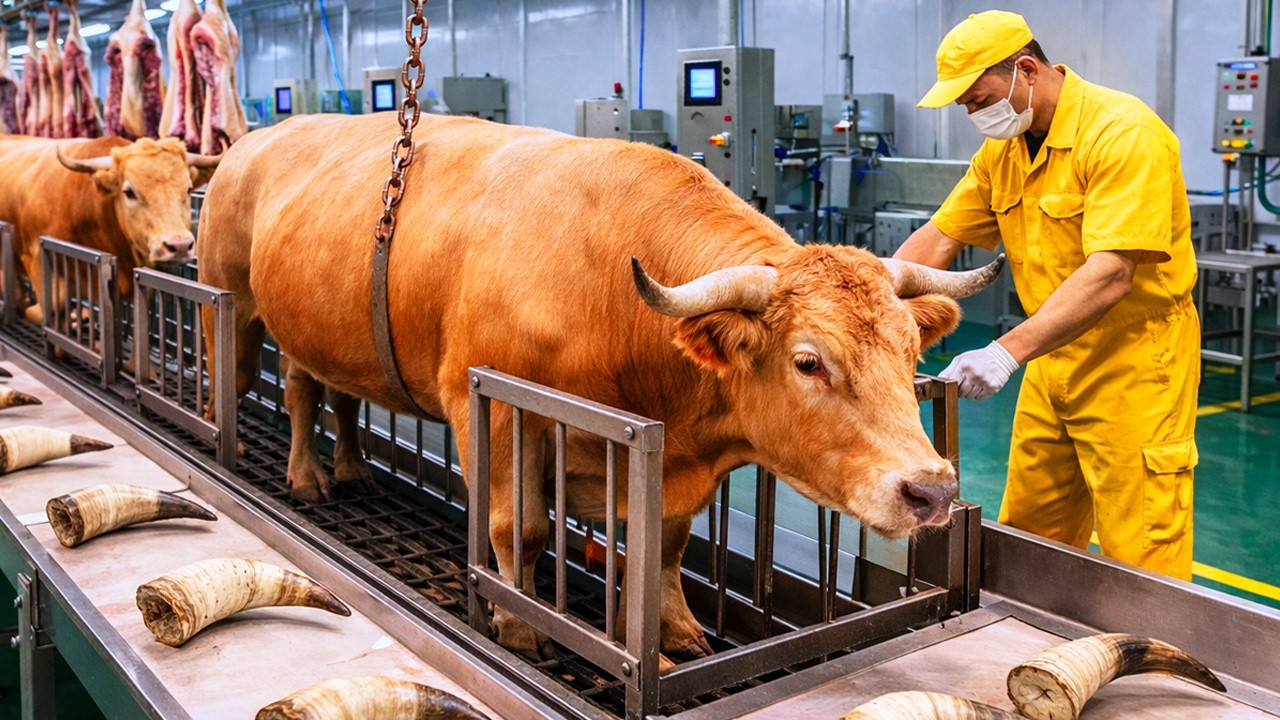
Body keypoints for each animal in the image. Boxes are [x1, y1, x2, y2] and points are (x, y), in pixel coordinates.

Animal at [196, 112, 1002, 661]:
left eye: (911, 350)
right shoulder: (491, 409)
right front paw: (518, 624)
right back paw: (300, 475)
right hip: (236, 301)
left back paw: (354, 469)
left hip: (328, 333)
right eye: (808, 362)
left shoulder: (671, 467)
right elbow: (517, 528)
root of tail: (260, 138)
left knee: (334, 393)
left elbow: (668, 548)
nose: (932, 489)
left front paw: (677, 629)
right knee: (276, 390)